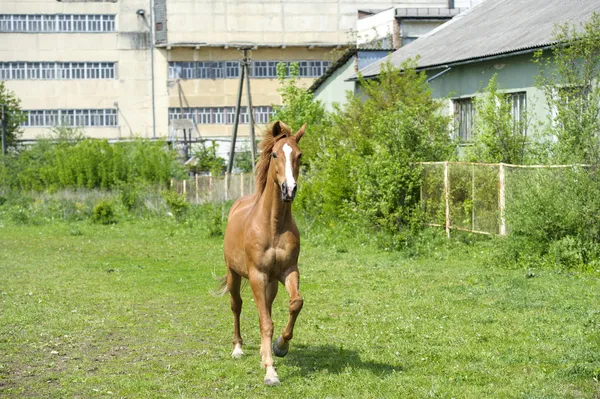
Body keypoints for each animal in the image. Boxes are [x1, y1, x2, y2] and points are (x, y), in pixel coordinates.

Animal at [220, 120, 308, 386]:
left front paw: (280, 347)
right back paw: (238, 348)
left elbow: (295, 304)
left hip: (270, 283)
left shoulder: (288, 271)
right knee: (236, 305)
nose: (289, 189)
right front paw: (271, 372)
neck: (273, 225)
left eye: (299, 155)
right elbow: (265, 322)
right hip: (234, 274)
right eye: (275, 154)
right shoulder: (257, 275)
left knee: (266, 308)